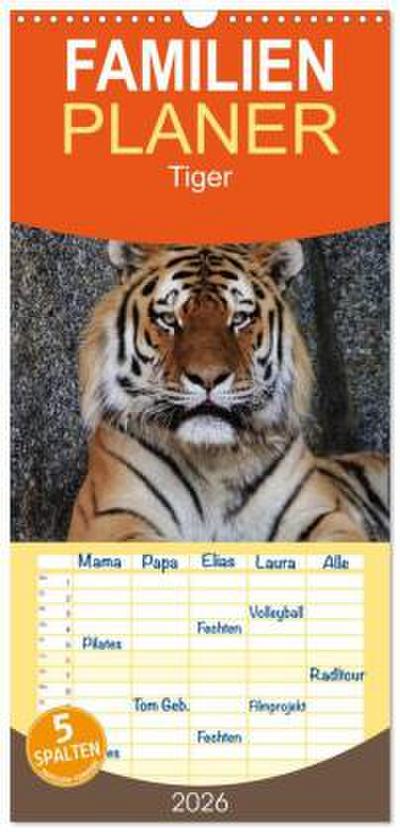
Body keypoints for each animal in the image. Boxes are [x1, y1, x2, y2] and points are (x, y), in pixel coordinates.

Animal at [68, 240, 389, 543]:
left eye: (239, 319)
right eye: (169, 320)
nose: (208, 378)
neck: (213, 460)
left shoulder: (320, 513)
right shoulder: (114, 515)